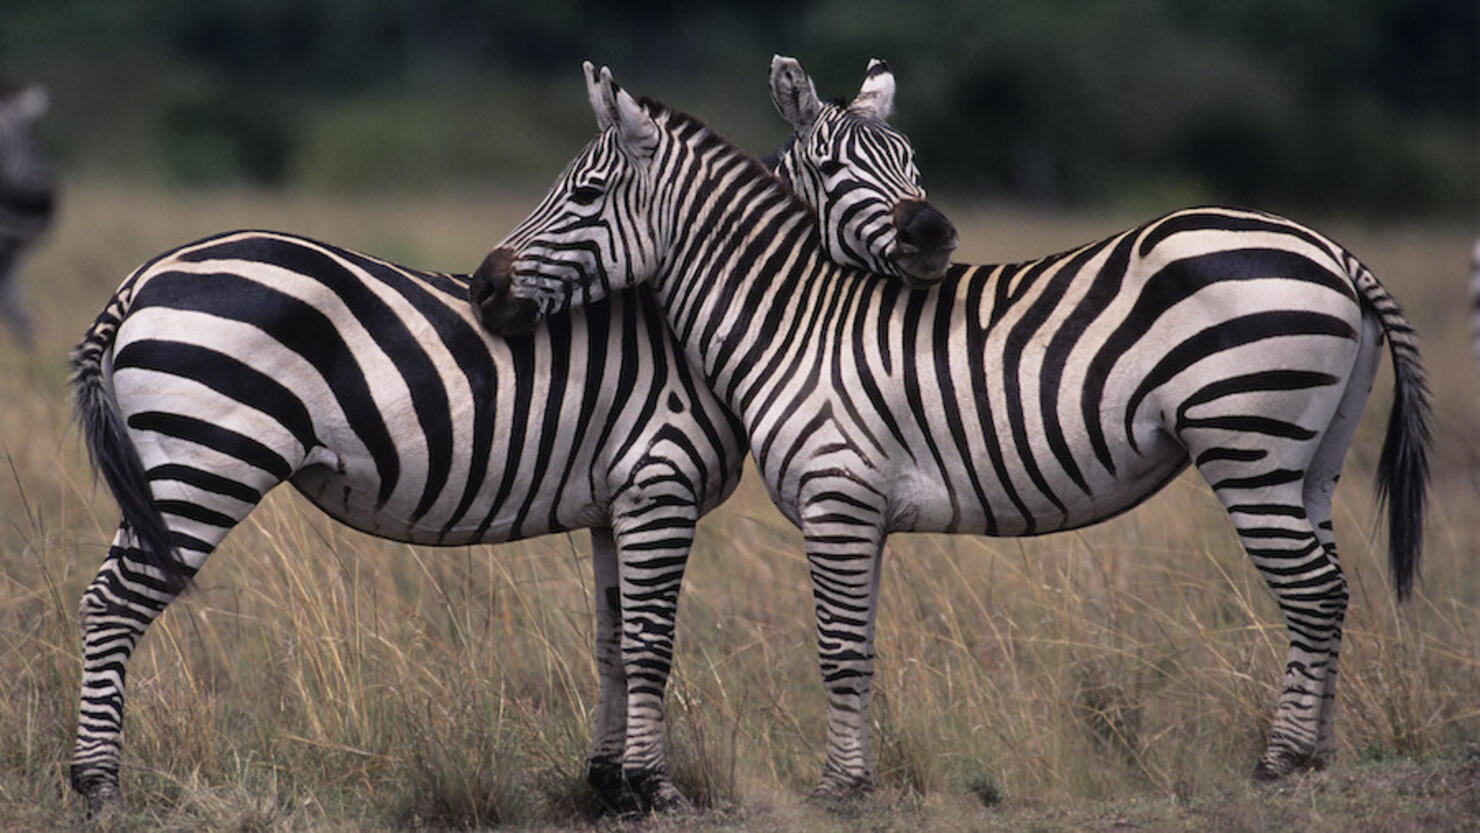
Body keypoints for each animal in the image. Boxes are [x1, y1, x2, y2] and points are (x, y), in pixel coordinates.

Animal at [467, 63, 1426, 798]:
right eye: (834, 165)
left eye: (584, 193)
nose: (483, 286)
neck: (794, 315)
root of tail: (1330, 249)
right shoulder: (863, 513)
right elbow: (862, 647)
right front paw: (856, 777)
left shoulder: (836, 497)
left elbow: (837, 649)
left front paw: (839, 789)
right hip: (1311, 460)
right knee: (1331, 589)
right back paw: (1318, 757)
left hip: (1247, 442)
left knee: (1314, 592)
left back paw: (1282, 760)